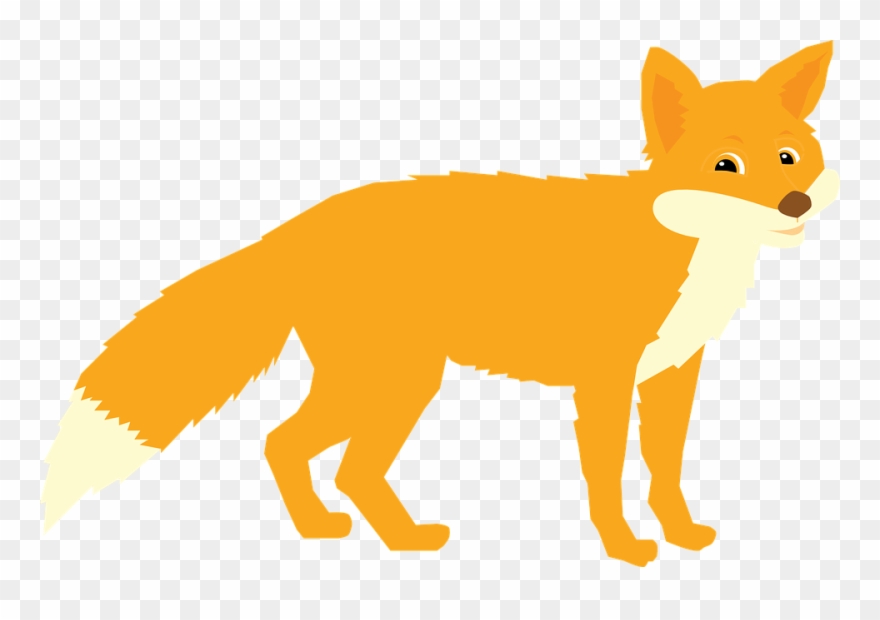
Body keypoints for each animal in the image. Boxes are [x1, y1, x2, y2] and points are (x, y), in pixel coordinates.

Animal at [42, 42, 839, 567]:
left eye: (789, 157)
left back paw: (336, 532)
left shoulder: (673, 377)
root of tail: (293, 227)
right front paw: (623, 548)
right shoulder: (606, 385)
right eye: (725, 165)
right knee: (329, 460)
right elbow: (609, 478)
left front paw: (682, 535)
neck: (690, 249)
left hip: (382, 385)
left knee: (291, 448)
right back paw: (395, 539)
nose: (794, 202)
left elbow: (666, 471)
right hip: (398, 383)